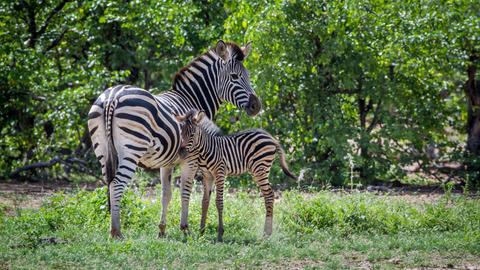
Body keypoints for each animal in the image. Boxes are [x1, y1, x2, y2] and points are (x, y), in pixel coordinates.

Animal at [86, 40, 258, 238]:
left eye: (248, 76)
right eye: (235, 76)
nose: (257, 106)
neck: (191, 98)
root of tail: (112, 97)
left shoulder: (166, 162)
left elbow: (166, 195)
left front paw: (162, 230)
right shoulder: (191, 159)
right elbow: (186, 191)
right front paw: (185, 228)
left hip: (102, 149)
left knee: (109, 183)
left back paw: (112, 229)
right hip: (132, 149)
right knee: (117, 184)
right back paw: (116, 231)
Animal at [174, 110, 298, 242]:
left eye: (192, 134)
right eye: (181, 133)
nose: (180, 153)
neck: (206, 150)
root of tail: (271, 137)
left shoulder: (220, 173)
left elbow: (219, 201)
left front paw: (220, 234)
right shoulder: (207, 176)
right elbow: (205, 202)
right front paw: (201, 232)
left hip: (260, 169)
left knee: (269, 194)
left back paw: (266, 234)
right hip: (258, 171)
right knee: (267, 195)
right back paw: (266, 233)